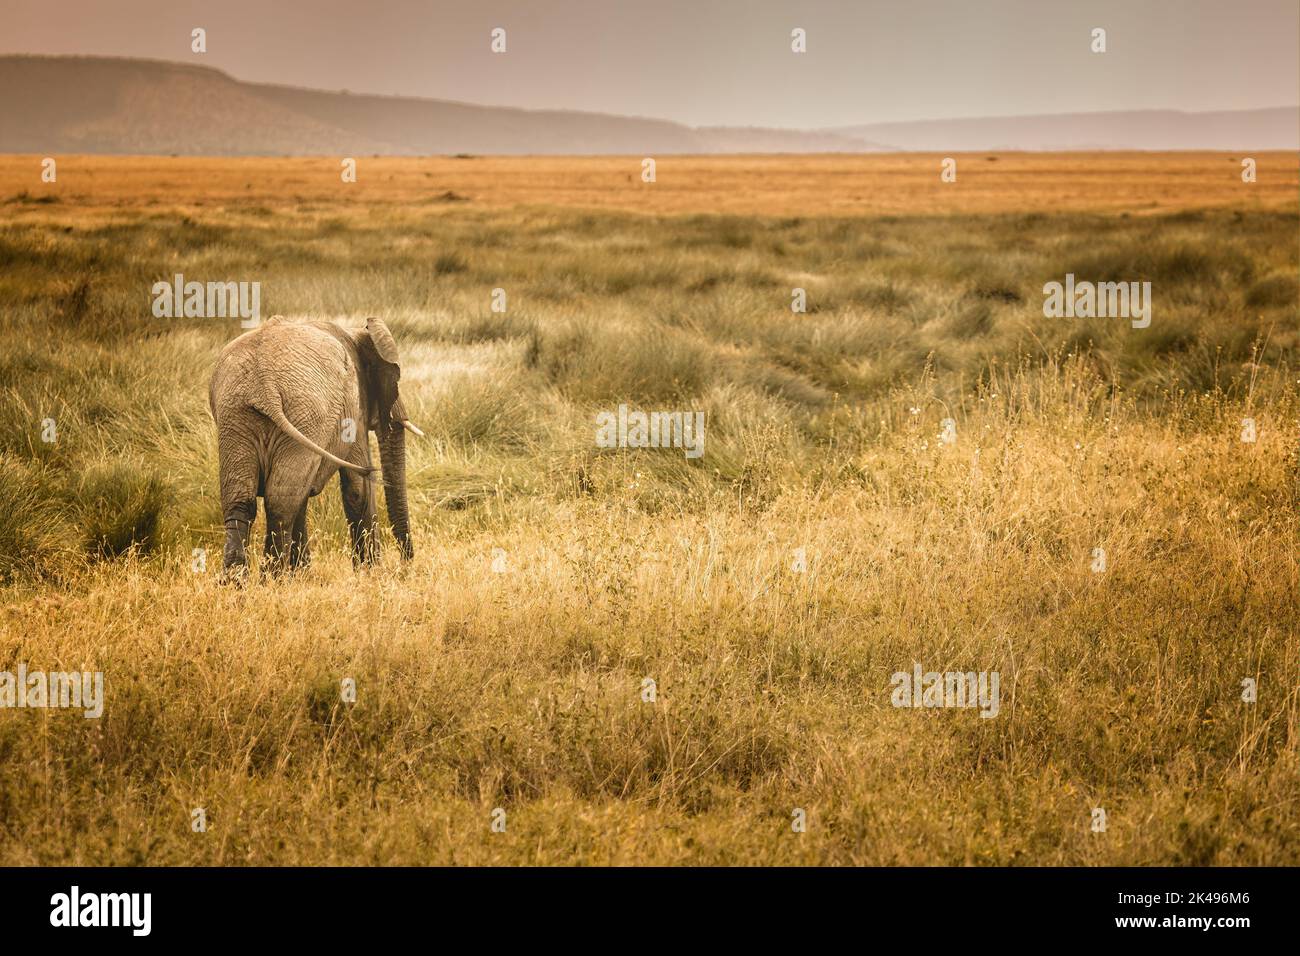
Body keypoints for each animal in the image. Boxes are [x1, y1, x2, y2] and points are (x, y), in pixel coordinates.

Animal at [206, 317, 421, 580]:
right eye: (394, 380)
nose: (406, 563)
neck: (355, 332)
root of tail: (263, 385)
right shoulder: (354, 412)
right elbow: (359, 488)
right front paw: (368, 573)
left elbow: (303, 493)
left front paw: (303, 575)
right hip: (306, 413)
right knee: (279, 503)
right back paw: (272, 581)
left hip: (236, 416)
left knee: (242, 500)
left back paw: (235, 582)